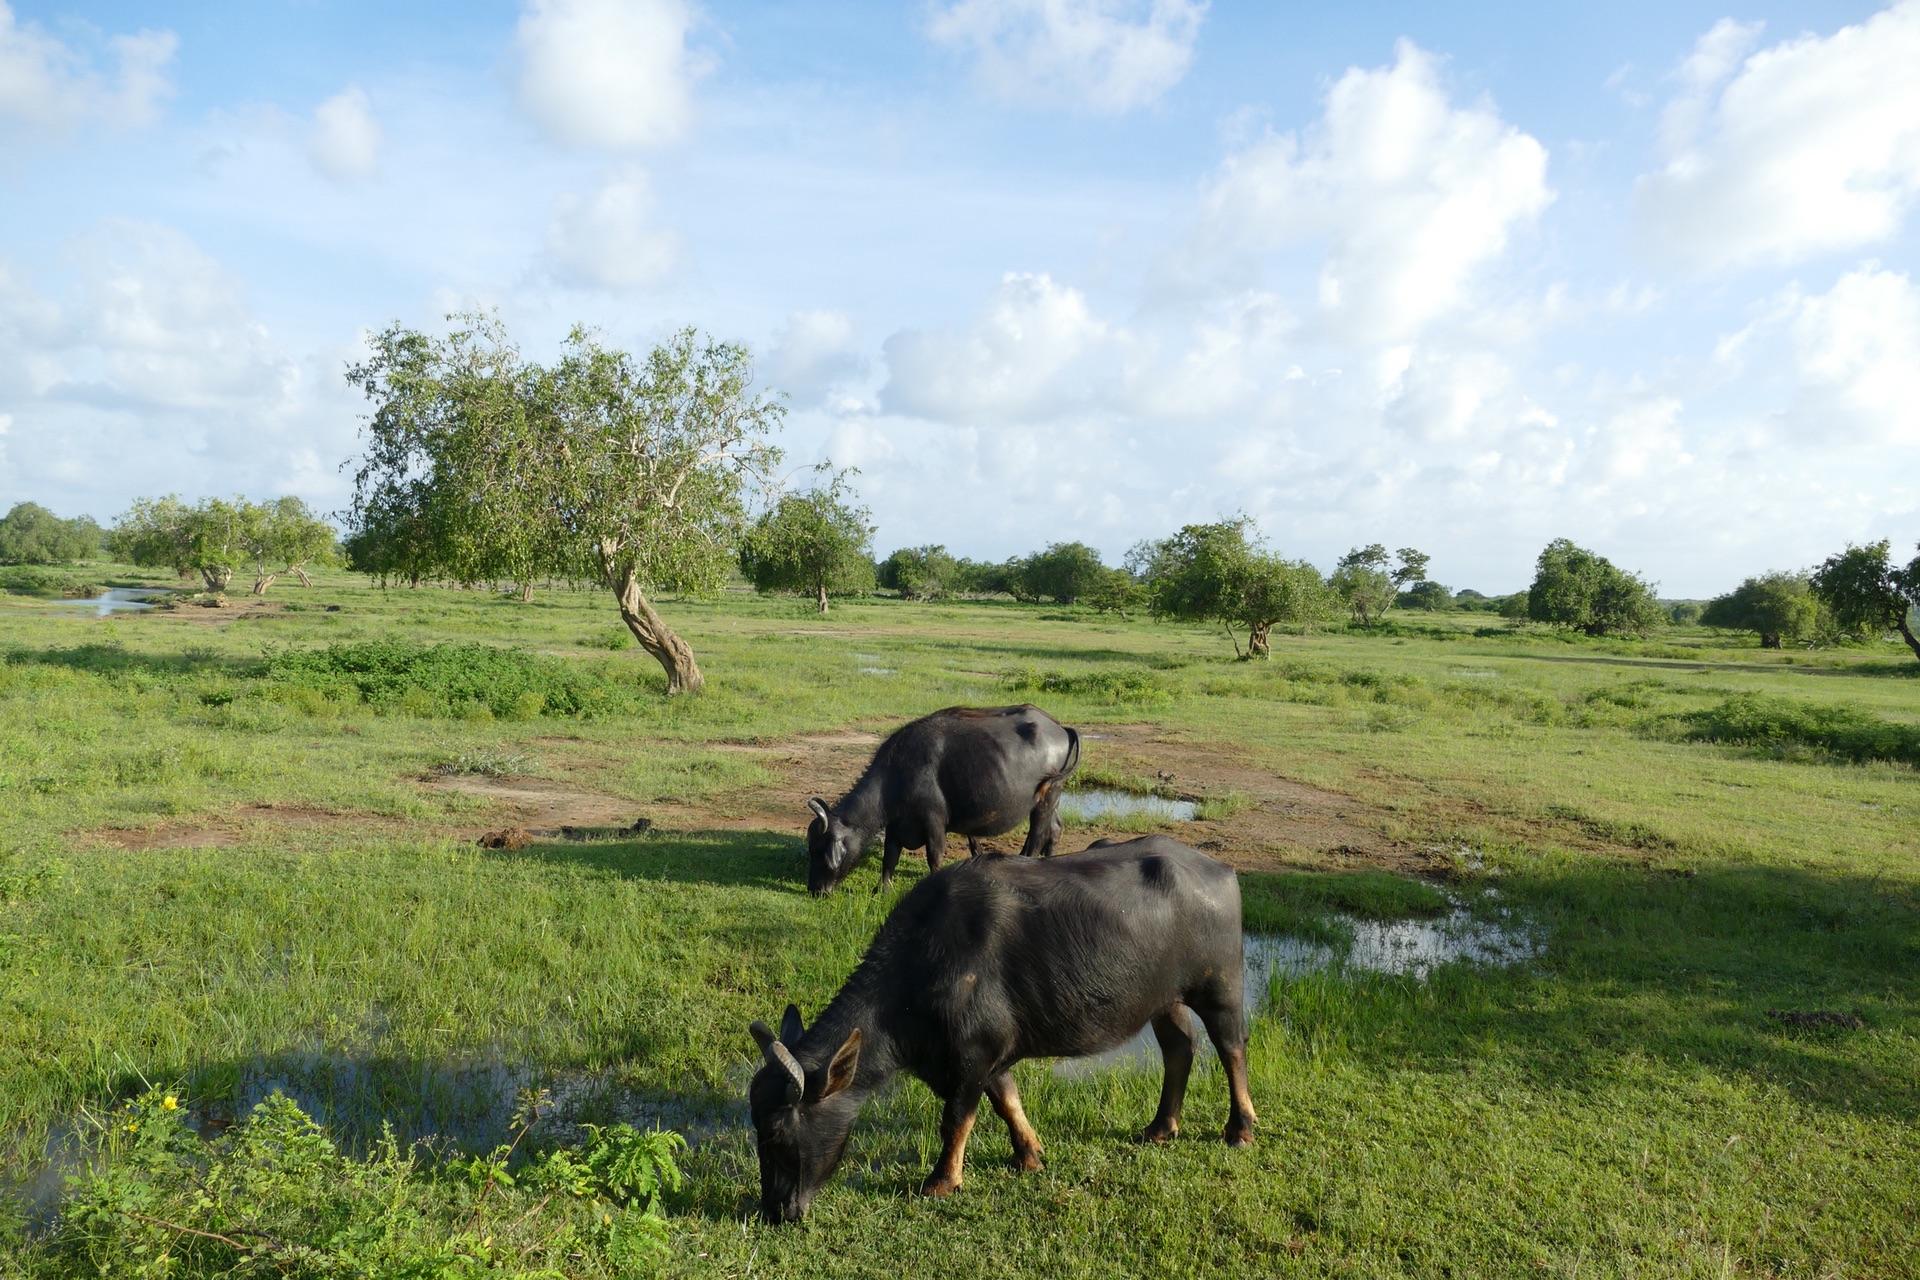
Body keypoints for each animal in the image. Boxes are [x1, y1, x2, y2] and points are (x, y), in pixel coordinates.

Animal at [741, 836, 1251, 1228]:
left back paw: (1240, 1128)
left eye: (778, 1133)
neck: (918, 971)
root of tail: (1221, 870)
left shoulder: (971, 1058)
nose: (776, 1210)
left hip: (1220, 987)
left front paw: (942, 1181)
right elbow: (1007, 1100)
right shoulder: (986, 1057)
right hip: (1165, 1000)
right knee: (1179, 1048)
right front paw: (1029, 1154)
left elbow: (956, 1120)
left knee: (1231, 1048)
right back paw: (1162, 1127)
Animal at [802, 706, 1082, 898]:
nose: (815, 890)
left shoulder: (934, 822)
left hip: (1046, 798)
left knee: (1037, 836)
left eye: (820, 850)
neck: (897, 776)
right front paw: (882, 889)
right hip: (1054, 799)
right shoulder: (896, 824)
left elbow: (934, 857)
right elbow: (889, 857)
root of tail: (1059, 728)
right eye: (811, 849)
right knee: (1055, 828)